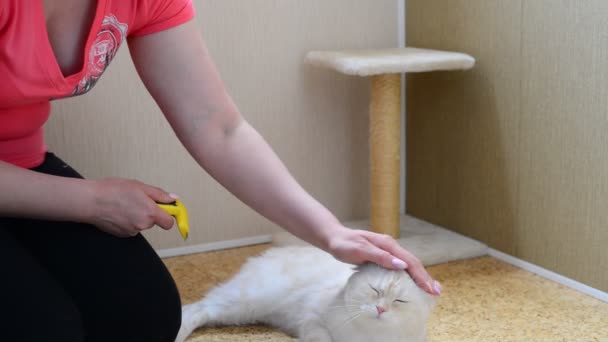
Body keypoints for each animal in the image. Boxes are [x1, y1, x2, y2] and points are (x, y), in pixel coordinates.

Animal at [173, 246, 434, 342]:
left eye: (399, 301)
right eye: (375, 290)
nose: (381, 309)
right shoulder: (312, 319)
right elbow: (321, 339)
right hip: (244, 302)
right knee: (198, 308)